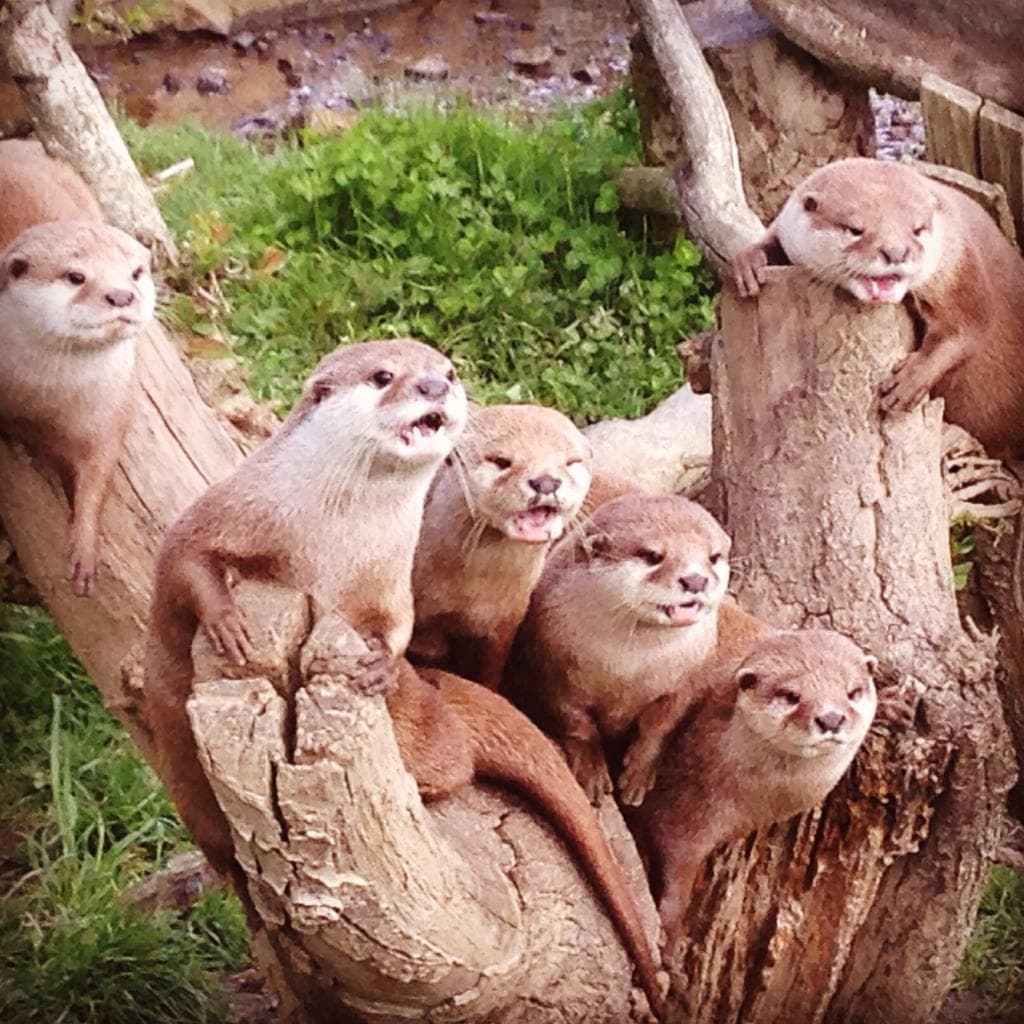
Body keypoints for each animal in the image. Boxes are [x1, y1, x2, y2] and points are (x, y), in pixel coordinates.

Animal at [0, 219, 155, 594]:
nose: (121, 296)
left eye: (135, 272)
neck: (42, 400)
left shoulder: (110, 411)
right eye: (75, 276)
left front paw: (84, 549)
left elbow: (98, 474)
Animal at [410, 403, 592, 689]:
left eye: (572, 462)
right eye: (500, 461)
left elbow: (490, 674)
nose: (546, 481)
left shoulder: (506, 621)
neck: (470, 592)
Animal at [508, 493, 731, 803]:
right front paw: (592, 770)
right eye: (652, 555)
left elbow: (660, 727)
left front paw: (639, 772)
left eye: (714, 557)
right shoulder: (551, 670)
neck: (626, 672)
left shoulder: (685, 682)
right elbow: (577, 723)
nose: (696, 580)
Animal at [731, 157, 1024, 460]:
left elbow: (966, 329)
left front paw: (909, 380)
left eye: (917, 229)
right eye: (855, 229)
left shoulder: (959, 268)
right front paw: (749, 263)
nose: (896, 252)